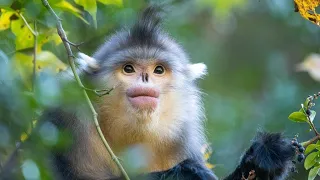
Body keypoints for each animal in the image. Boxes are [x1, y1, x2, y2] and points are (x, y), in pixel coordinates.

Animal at [39, 4, 298, 180]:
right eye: (129, 69)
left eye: (159, 70)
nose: (145, 78)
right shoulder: (66, 115)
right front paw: (185, 172)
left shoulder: (183, 131)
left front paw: (263, 158)